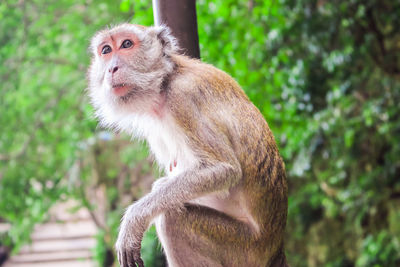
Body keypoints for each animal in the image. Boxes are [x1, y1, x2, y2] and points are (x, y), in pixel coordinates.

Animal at [87, 23, 288, 267]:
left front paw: (134, 219)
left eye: (126, 44)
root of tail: (276, 248)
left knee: (171, 219)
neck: (164, 83)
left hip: (245, 249)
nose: (111, 68)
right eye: (106, 50)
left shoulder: (183, 99)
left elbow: (223, 169)